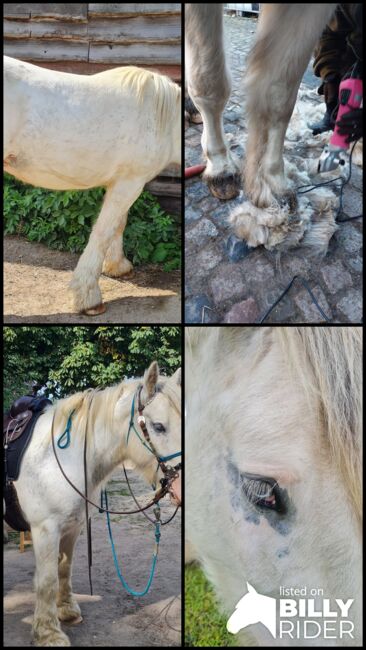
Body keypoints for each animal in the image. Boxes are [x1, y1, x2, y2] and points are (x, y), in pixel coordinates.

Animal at [2, 57, 180, 316]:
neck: (162, 120)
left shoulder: (122, 183)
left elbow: (118, 224)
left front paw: (118, 266)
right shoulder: (130, 183)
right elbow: (103, 232)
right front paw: (89, 299)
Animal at [12, 360, 181, 644]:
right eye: (159, 426)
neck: (61, 458)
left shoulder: (73, 526)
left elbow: (64, 568)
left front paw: (67, 611)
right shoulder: (45, 529)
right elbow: (47, 580)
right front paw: (48, 634)